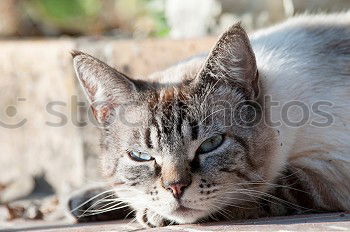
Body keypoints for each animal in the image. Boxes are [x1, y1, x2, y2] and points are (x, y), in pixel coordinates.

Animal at [69, 11, 350, 227]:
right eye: (141, 156)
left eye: (210, 145)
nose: (175, 188)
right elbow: (123, 190)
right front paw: (85, 203)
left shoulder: (330, 168)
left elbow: (261, 190)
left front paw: (151, 214)